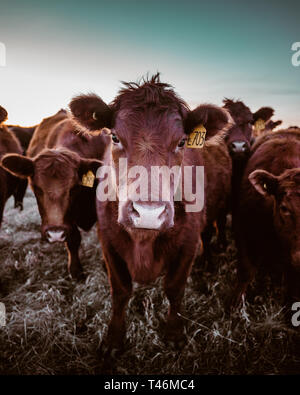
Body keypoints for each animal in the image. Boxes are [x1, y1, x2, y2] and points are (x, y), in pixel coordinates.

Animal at [0, 110, 106, 280]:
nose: (55, 234)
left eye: (74, 188)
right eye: (36, 188)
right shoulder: (68, 221)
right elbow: (73, 239)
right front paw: (76, 271)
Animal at [69, 73, 232, 356]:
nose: (148, 213)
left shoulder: (188, 243)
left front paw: (174, 334)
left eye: (181, 142)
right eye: (114, 137)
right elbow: (120, 290)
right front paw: (114, 339)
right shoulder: (108, 240)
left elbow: (174, 288)